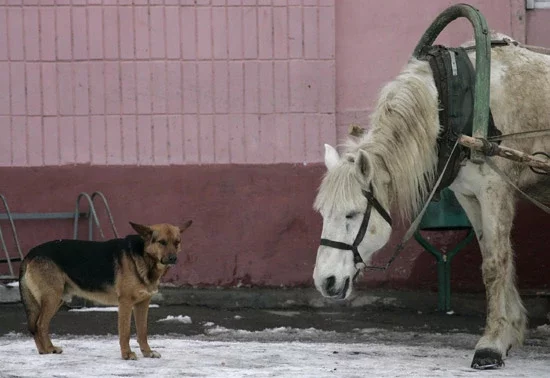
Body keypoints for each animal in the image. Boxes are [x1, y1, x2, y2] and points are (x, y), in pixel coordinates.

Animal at [19, 221, 193, 360]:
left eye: (177, 242)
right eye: (162, 242)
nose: (173, 259)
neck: (144, 256)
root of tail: (30, 253)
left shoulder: (143, 304)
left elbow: (142, 331)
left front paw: (148, 352)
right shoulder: (125, 303)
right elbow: (125, 332)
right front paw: (127, 354)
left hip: (57, 299)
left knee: (38, 325)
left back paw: (45, 350)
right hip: (52, 298)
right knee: (40, 324)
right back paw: (48, 349)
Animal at [314, 35, 550, 370]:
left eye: (352, 214)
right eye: (323, 213)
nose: (325, 281)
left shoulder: (495, 190)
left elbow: (495, 264)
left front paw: (491, 344)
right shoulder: (470, 195)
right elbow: (492, 255)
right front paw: (509, 331)